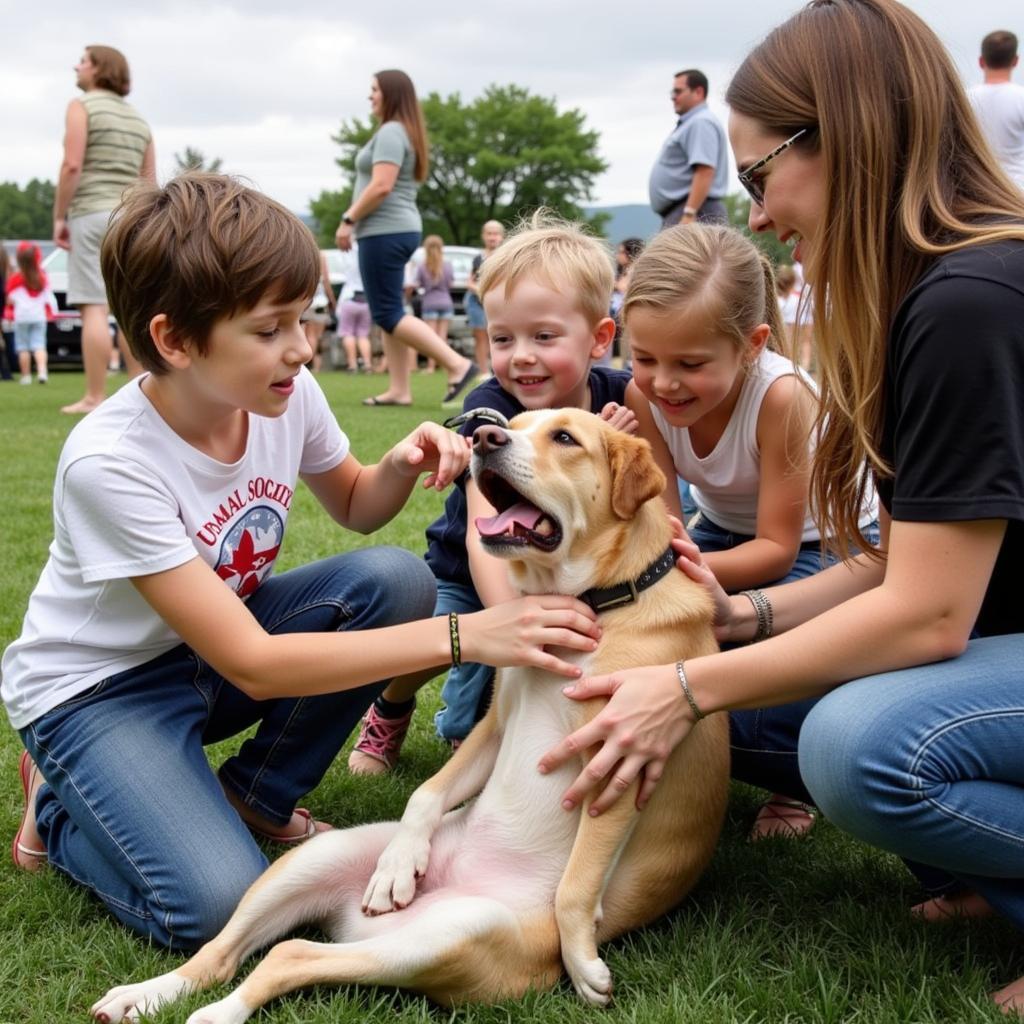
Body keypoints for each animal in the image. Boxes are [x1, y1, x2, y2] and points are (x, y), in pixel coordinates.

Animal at [90, 409, 729, 1024]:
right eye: (514, 425)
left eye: (565, 438)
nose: (484, 438)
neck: (592, 600)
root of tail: (355, 923)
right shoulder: (496, 726)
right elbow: (427, 792)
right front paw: (400, 865)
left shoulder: (623, 757)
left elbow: (575, 885)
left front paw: (581, 962)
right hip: (319, 859)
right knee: (236, 954)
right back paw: (148, 997)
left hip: (453, 934)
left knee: (284, 954)